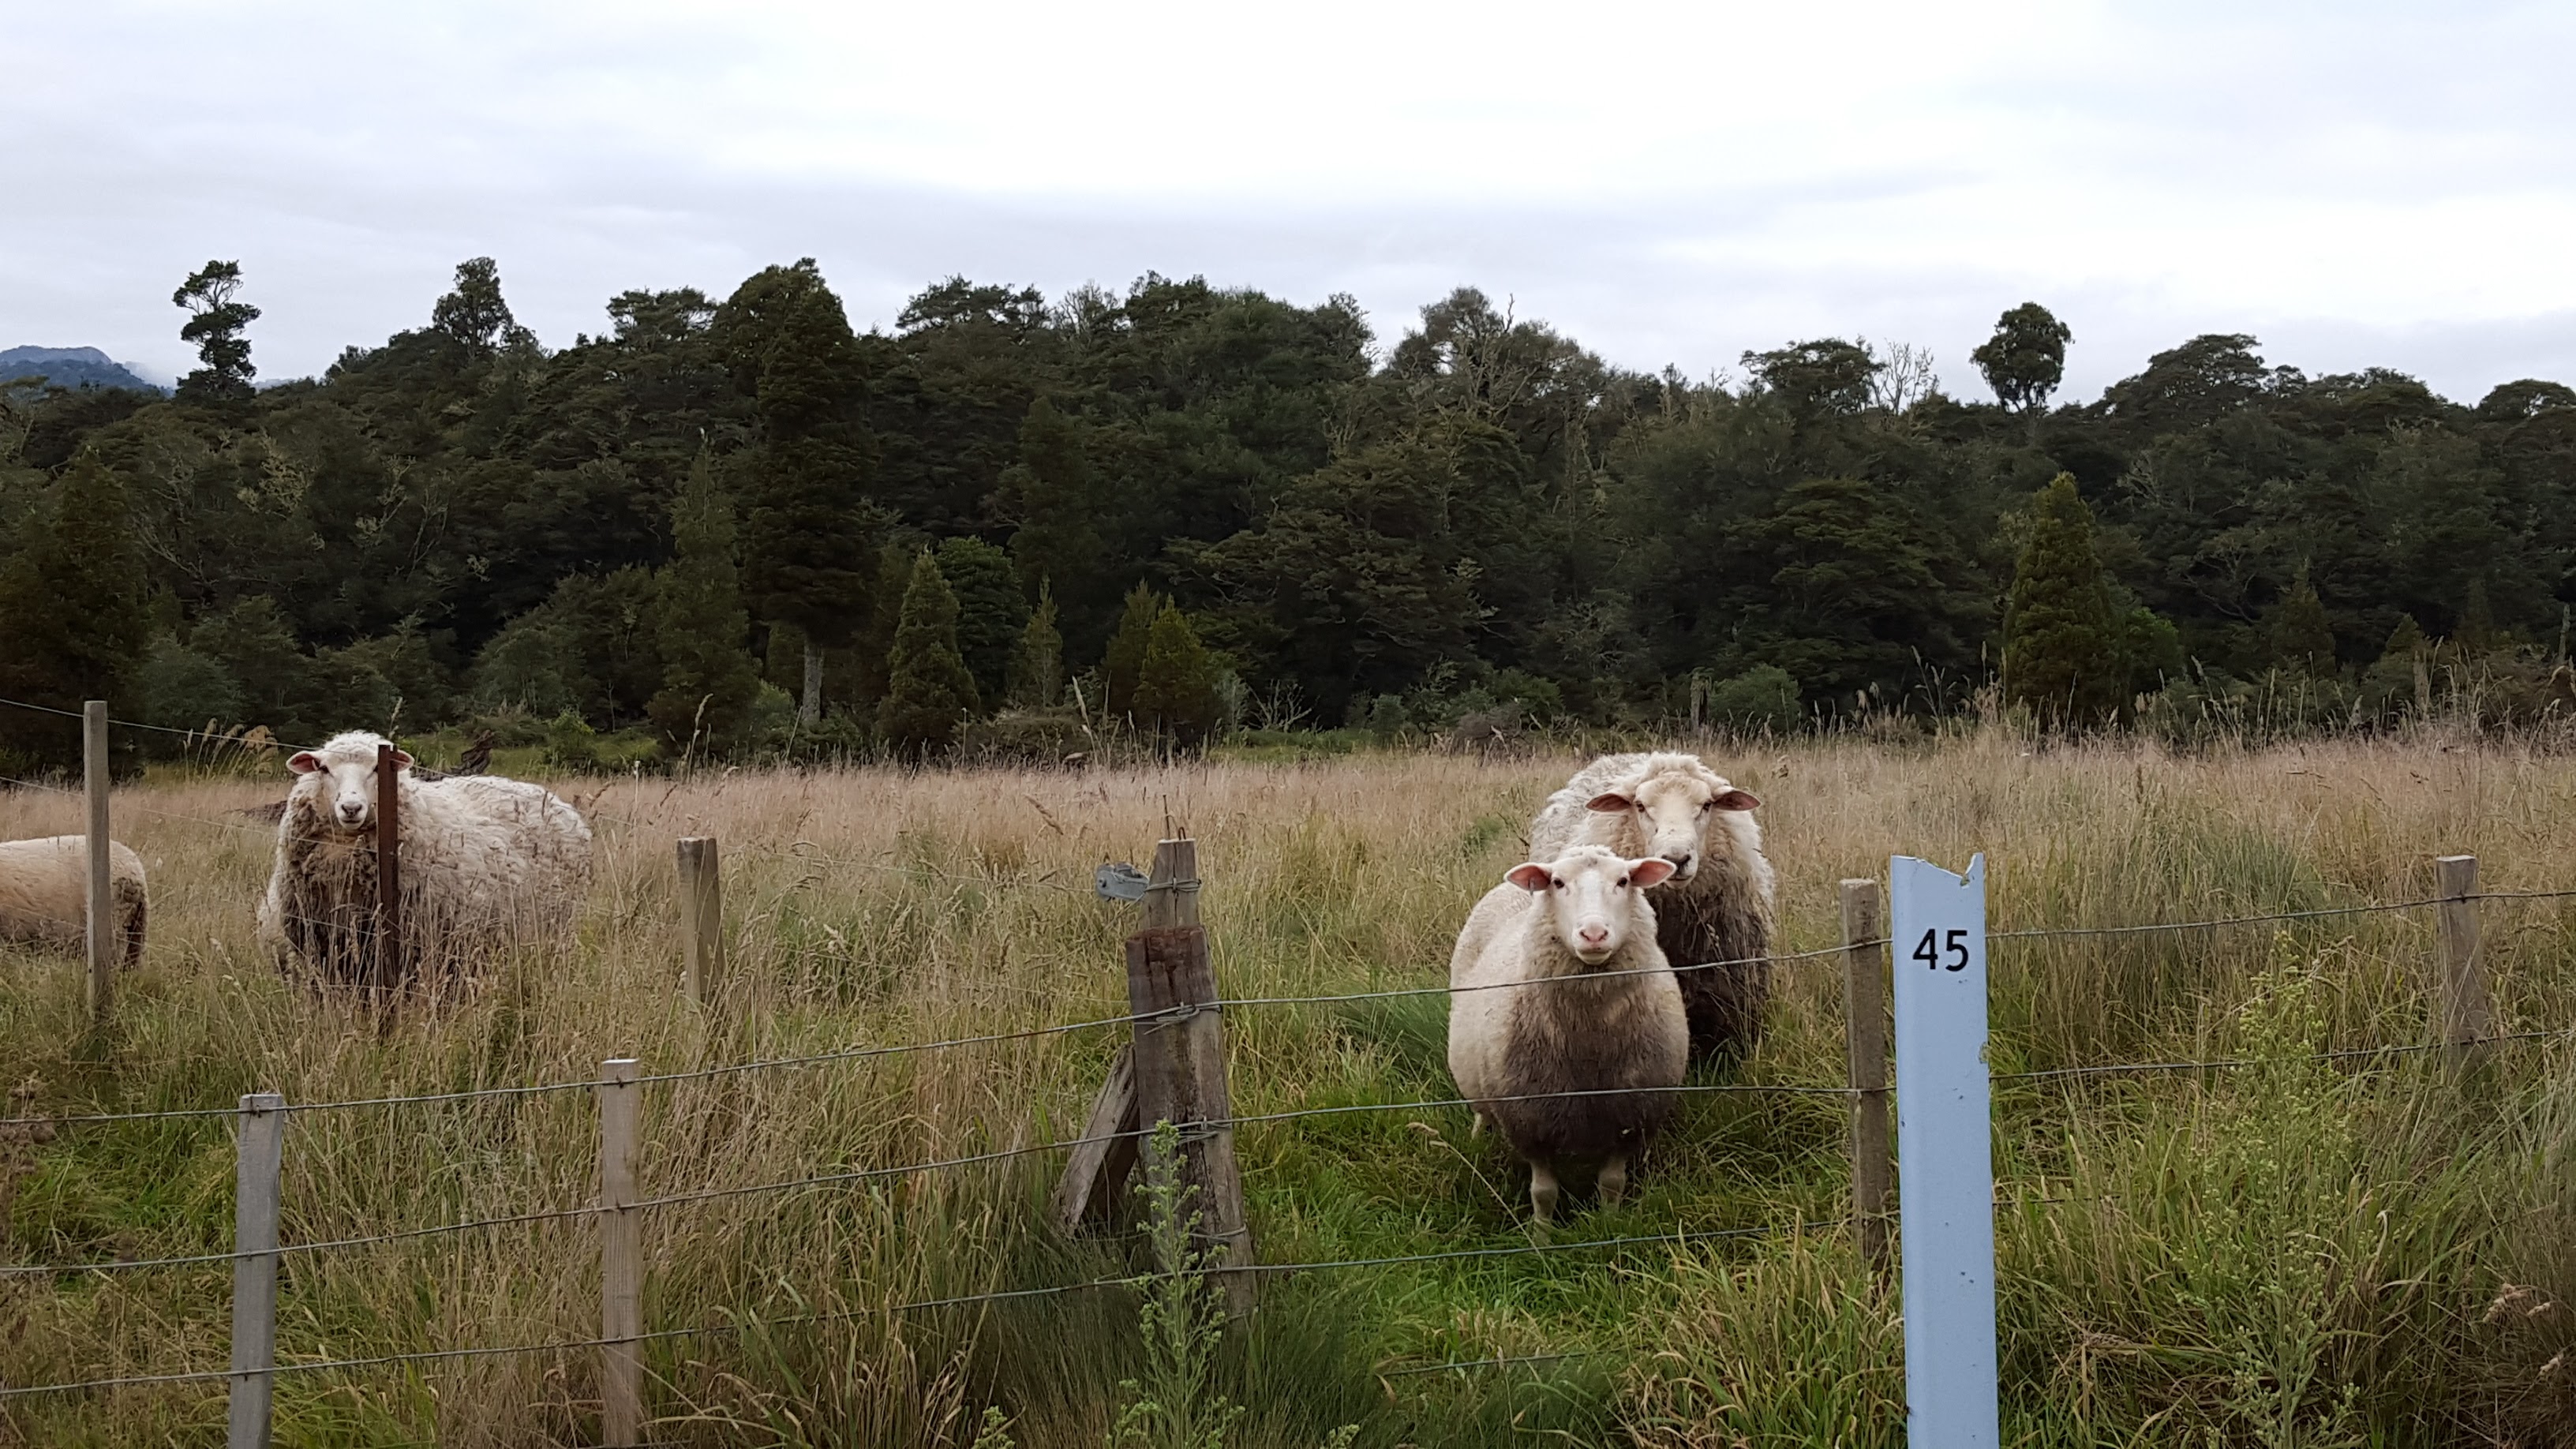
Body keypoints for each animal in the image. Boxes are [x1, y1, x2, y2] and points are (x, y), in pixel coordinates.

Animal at [257, 731, 592, 988]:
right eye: (324, 768)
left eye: (376, 769)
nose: (351, 808)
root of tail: (554, 799)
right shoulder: (324, 950)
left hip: (554, 928)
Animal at [1447, 844, 1685, 1225]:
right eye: (1557, 883)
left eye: (1624, 880)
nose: (1594, 934)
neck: (1588, 1051)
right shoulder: (1529, 1124)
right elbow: (1544, 1193)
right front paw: (1541, 1234)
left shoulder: (1630, 1119)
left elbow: (1612, 1183)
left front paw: (1609, 1223)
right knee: (1481, 1110)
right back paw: (1475, 1139)